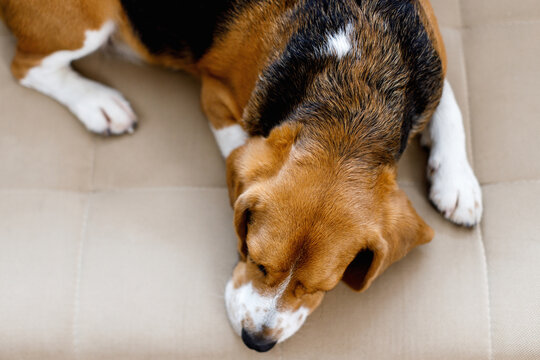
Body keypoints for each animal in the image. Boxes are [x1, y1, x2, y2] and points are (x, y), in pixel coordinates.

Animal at [0, 0, 480, 352]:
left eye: (320, 287)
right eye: (253, 256)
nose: (256, 342)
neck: (355, 91)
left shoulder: (432, 63)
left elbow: (448, 105)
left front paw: (458, 183)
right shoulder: (215, 95)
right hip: (86, 21)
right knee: (28, 67)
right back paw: (97, 103)